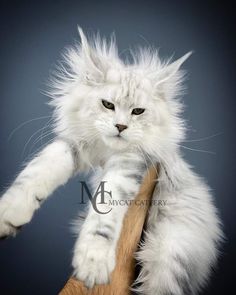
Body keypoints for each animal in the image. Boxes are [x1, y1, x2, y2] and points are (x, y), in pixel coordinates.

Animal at [0, 28, 223, 295]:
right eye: (108, 105)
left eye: (138, 111)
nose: (120, 126)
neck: (105, 152)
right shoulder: (74, 146)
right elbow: (37, 170)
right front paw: (11, 212)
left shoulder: (131, 162)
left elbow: (105, 209)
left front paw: (93, 261)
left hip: (167, 258)